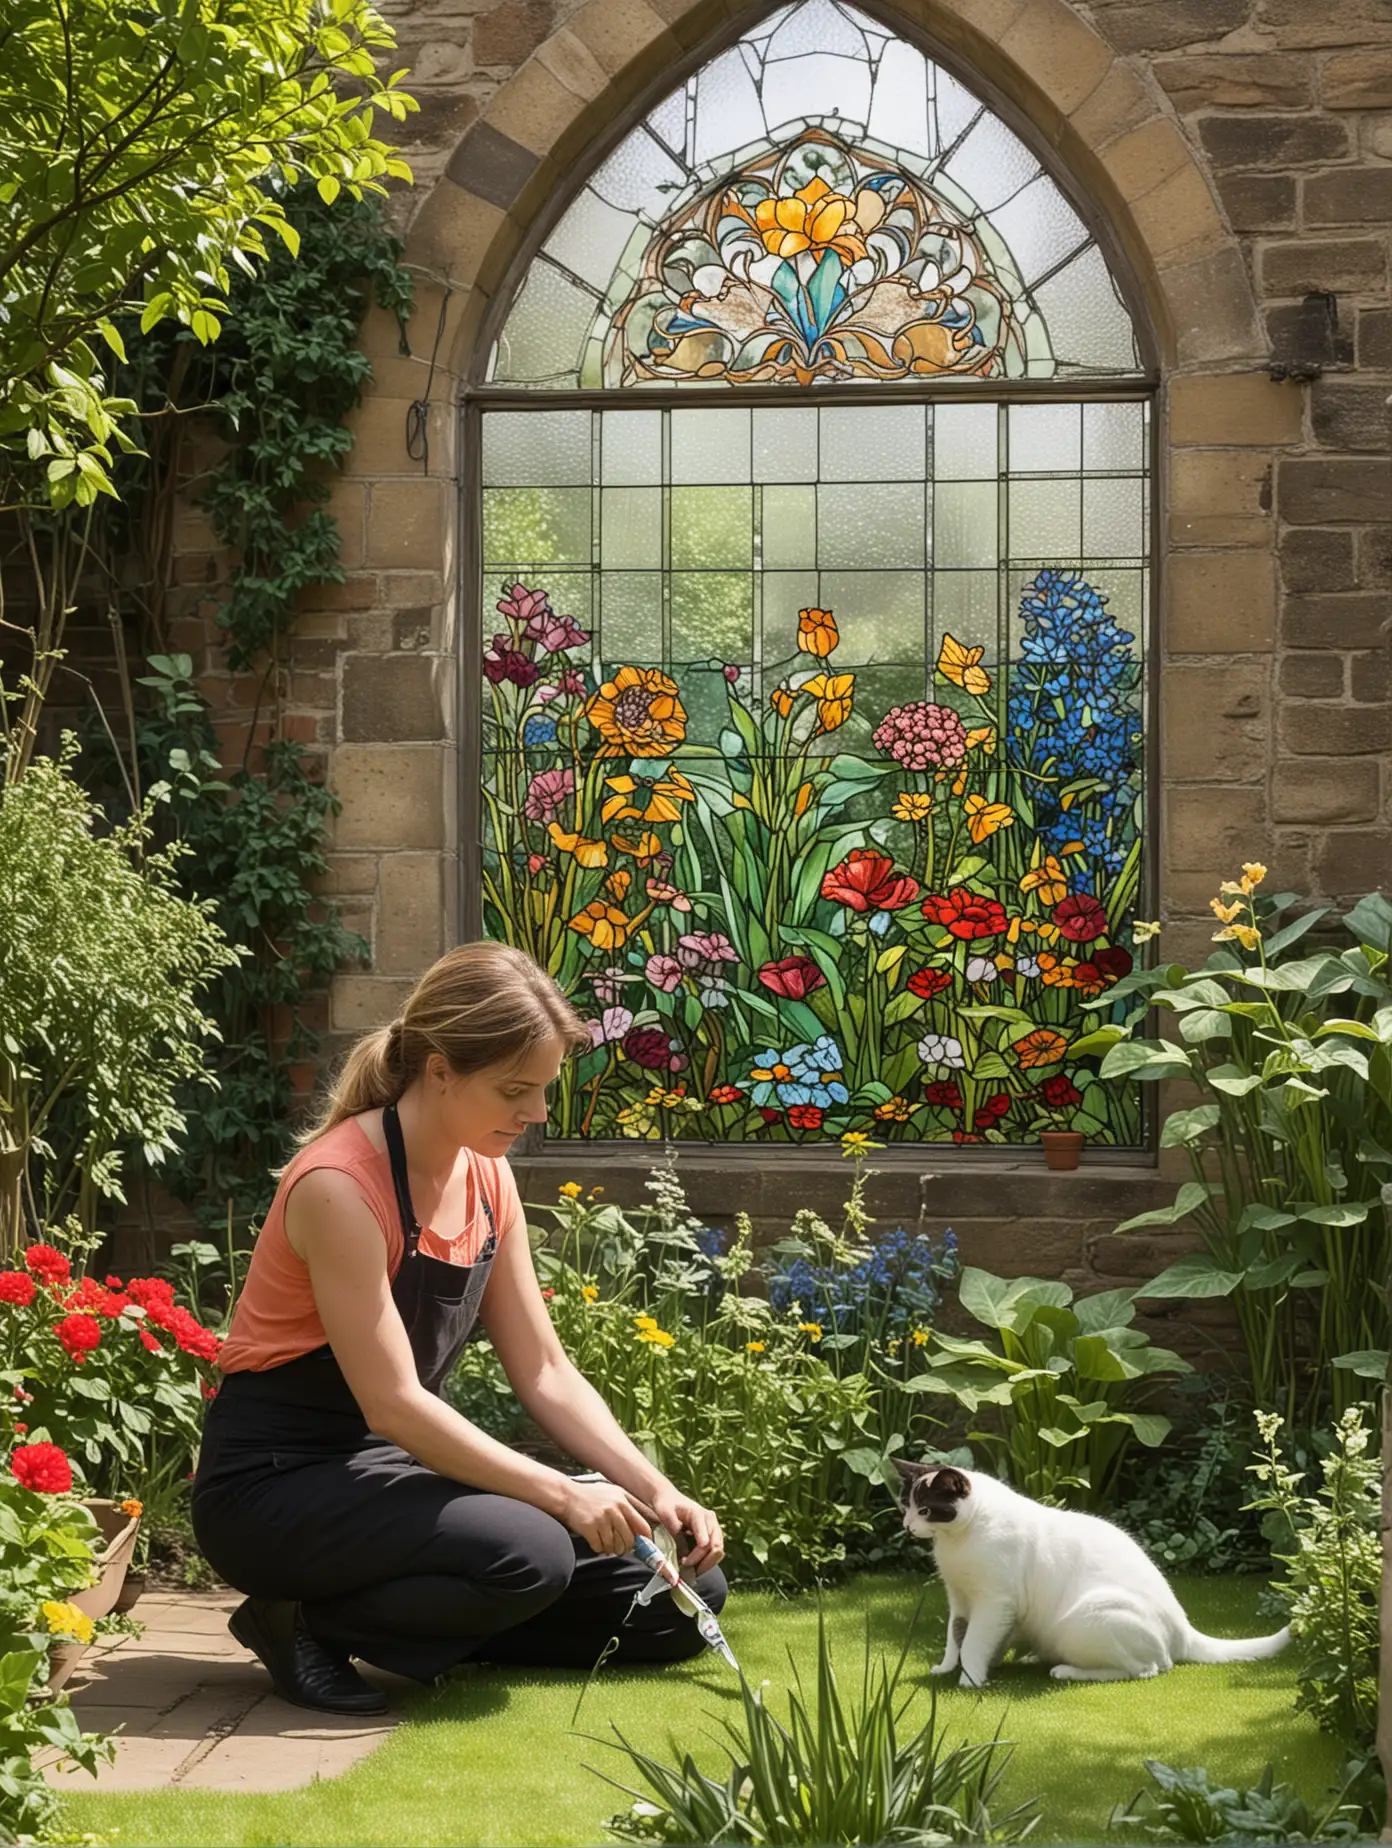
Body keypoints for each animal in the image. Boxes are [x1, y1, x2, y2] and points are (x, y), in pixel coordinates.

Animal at [894, 1456, 1286, 1692]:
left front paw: (970, 1679)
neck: (957, 1541)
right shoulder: (960, 1598)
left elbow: (974, 1640)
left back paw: (1067, 1670)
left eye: (926, 1510)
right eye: (905, 1506)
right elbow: (956, 1635)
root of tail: (1183, 1629)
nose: (908, 1526)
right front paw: (948, 1667)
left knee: (1148, 1668)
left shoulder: (994, 1601)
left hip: (1087, 1618)